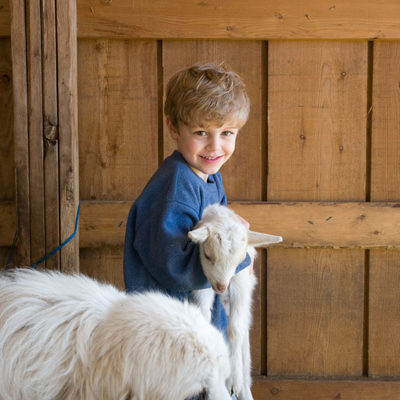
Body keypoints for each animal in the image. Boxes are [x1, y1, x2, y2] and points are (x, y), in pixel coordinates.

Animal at [188, 205, 282, 400]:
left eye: (240, 261)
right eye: (207, 256)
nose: (221, 286)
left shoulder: (241, 280)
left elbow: (235, 328)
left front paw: (235, 380)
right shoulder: (202, 283)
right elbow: (204, 316)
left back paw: (240, 386)